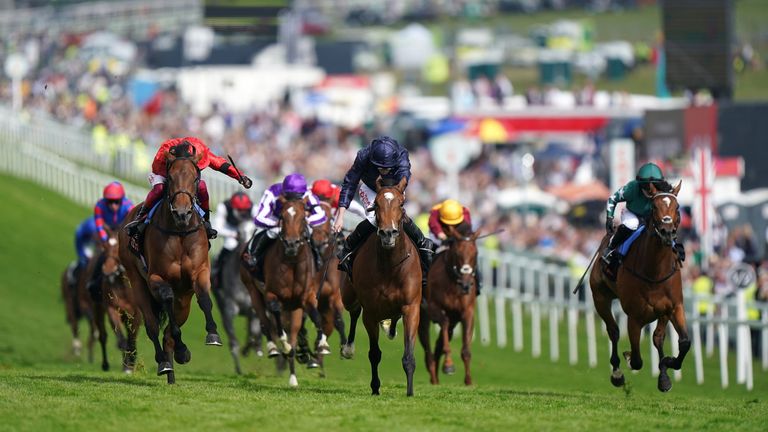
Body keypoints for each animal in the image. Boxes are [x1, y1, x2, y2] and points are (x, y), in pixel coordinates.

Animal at [118, 143, 222, 384]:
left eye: (195, 178)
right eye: (171, 177)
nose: (182, 212)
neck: (180, 232)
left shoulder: (200, 271)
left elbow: (204, 298)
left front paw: (212, 334)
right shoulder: (156, 278)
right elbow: (165, 299)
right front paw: (181, 351)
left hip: (184, 300)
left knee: (167, 333)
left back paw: (173, 372)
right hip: (137, 283)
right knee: (152, 326)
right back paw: (164, 362)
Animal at [244, 194, 328, 386]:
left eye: (303, 217)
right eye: (282, 217)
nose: (291, 244)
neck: (292, 262)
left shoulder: (306, 297)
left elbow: (316, 316)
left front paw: (322, 344)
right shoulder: (271, 295)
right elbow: (276, 320)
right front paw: (283, 344)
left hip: (294, 309)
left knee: (294, 330)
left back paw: (293, 377)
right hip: (253, 291)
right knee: (266, 321)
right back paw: (274, 348)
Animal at [340, 177, 420, 396]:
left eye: (401, 203)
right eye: (376, 204)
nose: (388, 233)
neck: (390, 266)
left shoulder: (412, 307)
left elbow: (409, 356)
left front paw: (410, 391)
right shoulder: (370, 312)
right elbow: (374, 353)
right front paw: (375, 387)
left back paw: (389, 327)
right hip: (348, 295)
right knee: (353, 311)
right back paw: (348, 348)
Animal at [416, 226, 476, 384]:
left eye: (475, 254)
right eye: (457, 253)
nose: (466, 285)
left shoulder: (467, 312)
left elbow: (465, 350)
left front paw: (468, 381)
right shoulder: (434, 308)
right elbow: (443, 323)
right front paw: (448, 366)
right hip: (421, 315)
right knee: (427, 347)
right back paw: (433, 376)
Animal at [584, 181, 688, 394]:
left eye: (677, 207)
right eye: (654, 207)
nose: (667, 232)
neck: (655, 271)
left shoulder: (674, 307)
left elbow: (683, 343)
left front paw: (667, 368)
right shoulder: (634, 317)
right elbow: (637, 360)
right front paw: (628, 358)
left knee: (657, 337)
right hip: (600, 297)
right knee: (613, 330)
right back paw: (617, 372)